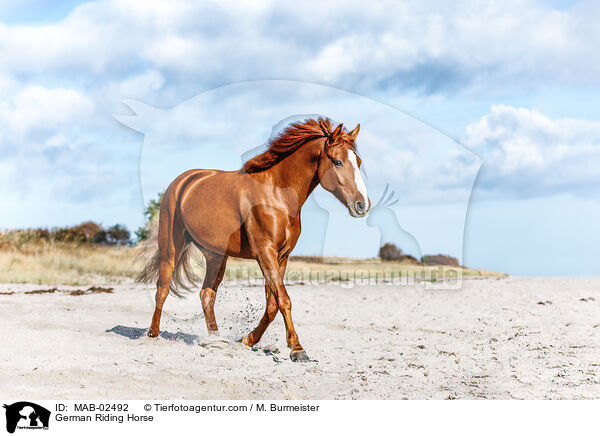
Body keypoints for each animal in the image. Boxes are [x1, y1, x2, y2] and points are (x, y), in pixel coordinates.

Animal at [138, 116, 368, 362]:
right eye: (337, 162)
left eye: (358, 161)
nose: (362, 205)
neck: (277, 194)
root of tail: (182, 182)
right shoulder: (265, 253)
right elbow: (284, 300)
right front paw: (297, 349)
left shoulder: (281, 257)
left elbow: (272, 304)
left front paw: (248, 340)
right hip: (172, 247)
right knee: (162, 289)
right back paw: (153, 334)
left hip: (216, 256)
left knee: (206, 295)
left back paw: (215, 339)